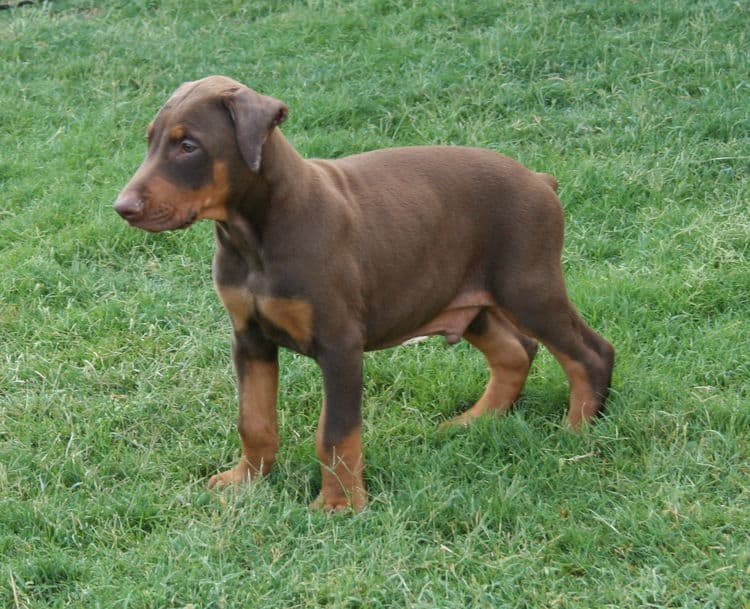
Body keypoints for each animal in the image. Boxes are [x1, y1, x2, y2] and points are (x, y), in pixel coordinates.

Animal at [113, 77, 616, 512]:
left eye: (188, 146)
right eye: (150, 140)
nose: (123, 208)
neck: (254, 235)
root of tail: (539, 178)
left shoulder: (340, 345)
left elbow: (336, 433)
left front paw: (339, 504)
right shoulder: (248, 338)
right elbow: (253, 420)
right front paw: (247, 481)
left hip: (528, 286)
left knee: (590, 353)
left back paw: (577, 436)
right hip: (463, 297)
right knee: (516, 351)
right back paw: (477, 420)